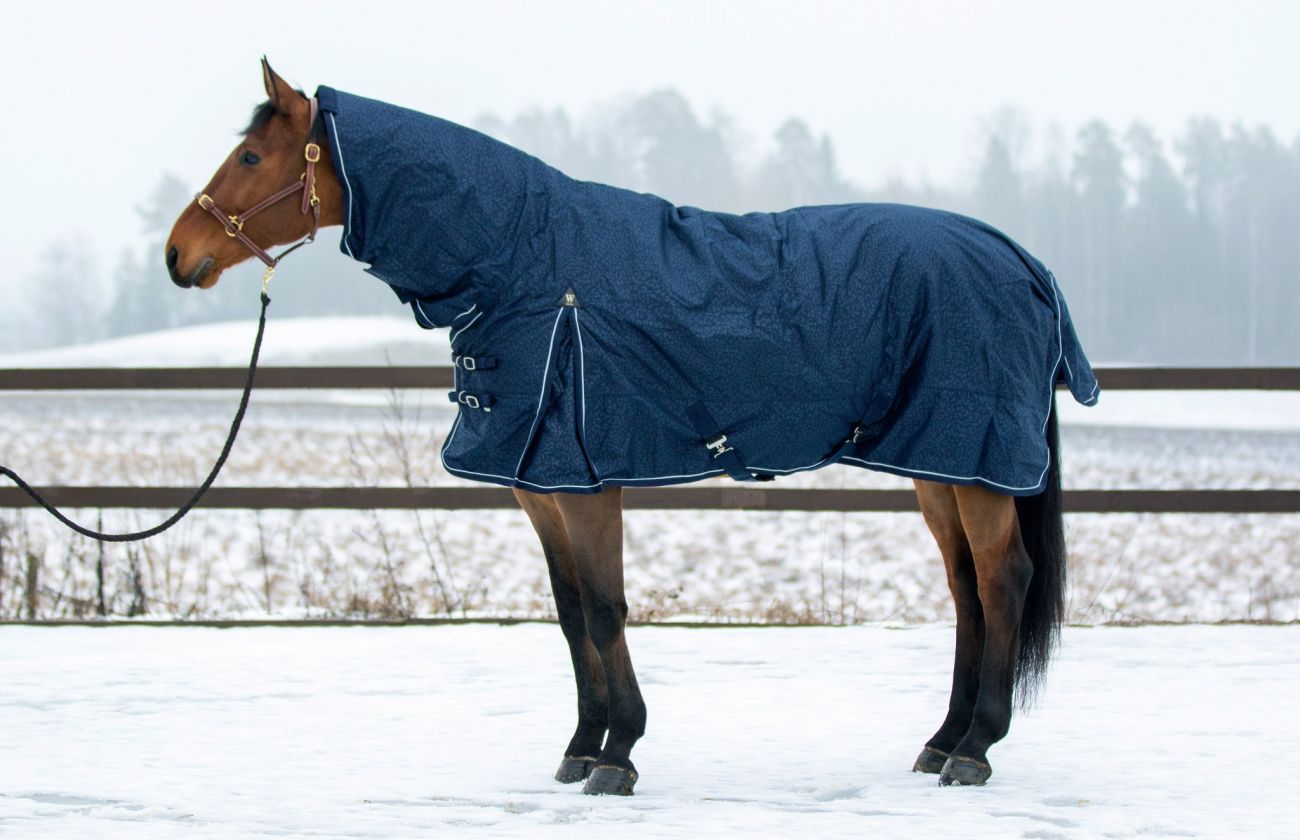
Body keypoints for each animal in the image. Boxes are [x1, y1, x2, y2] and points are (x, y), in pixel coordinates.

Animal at [165, 60, 1099, 794]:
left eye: (251, 155)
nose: (178, 255)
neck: (527, 266)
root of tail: (1022, 261)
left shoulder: (586, 482)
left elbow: (608, 608)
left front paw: (619, 755)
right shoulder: (539, 486)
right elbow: (573, 611)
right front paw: (582, 747)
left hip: (974, 463)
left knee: (1004, 578)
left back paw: (976, 748)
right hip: (941, 462)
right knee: (967, 588)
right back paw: (941, 742)